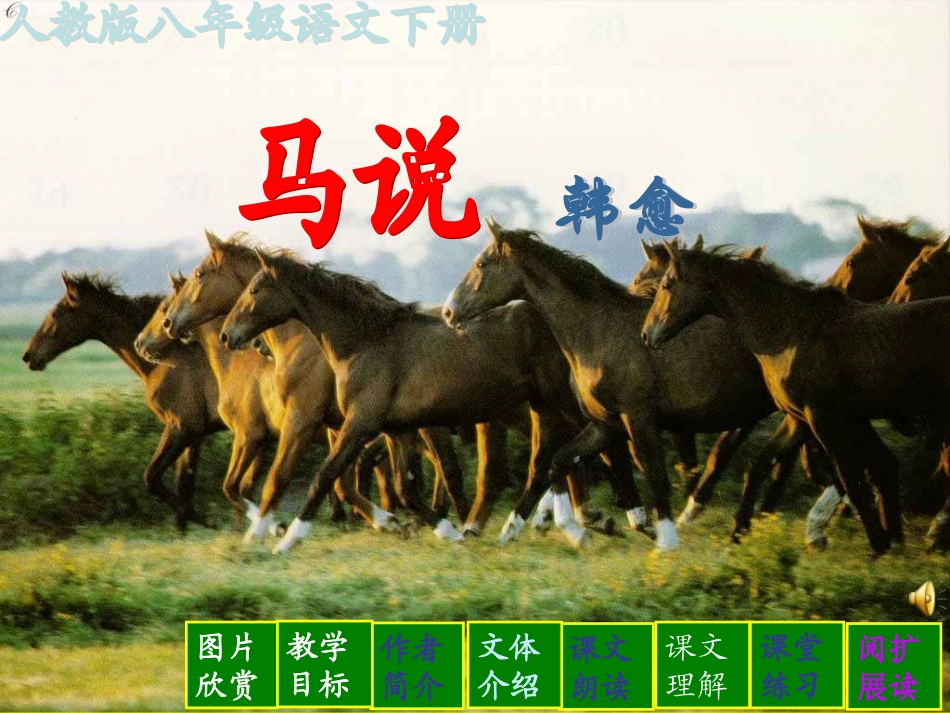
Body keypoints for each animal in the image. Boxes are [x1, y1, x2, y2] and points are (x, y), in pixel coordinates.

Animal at [22, 272, 223, 531]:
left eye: (56, 313)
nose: (28, 356)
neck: (166, 360)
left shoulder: (183, 428)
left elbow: (152, 478)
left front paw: (206, 519)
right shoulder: (194, 436)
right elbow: (184, 484)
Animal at [443, 219, 779, 550]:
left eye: (481, 263)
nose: (448, 311)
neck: (599, 331)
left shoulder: (638, 419)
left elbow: (653, 473)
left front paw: (664, 540)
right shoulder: (606, 424)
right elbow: (561, 462)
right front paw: (518, 530)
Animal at [641, 242, 950, 554]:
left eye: (666, 284)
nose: (646, 335)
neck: (789, 333)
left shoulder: (823, 418)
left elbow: (851, 479)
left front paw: (878, 547)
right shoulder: (799, 418)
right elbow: (758, 466)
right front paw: (736, 535)